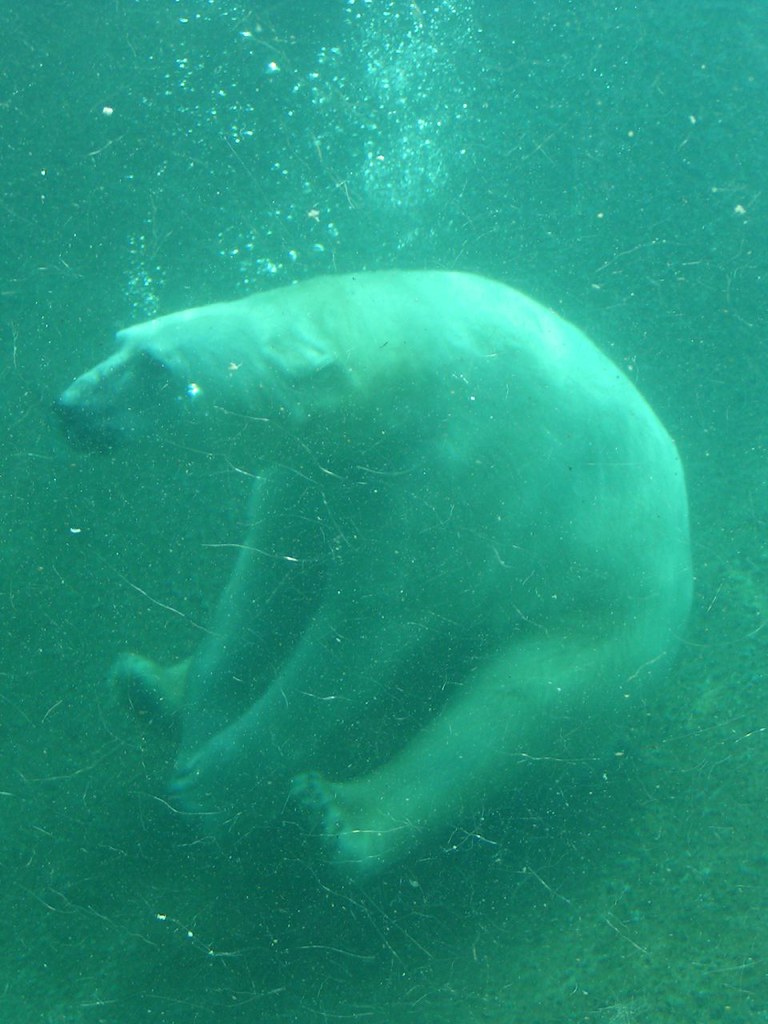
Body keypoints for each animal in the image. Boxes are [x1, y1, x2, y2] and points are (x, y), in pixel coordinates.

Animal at [56, 271, 692, 876]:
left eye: (156, 367)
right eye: (122, 340)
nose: (70, 406)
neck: (409, 369)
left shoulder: (457, 484)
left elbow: (360, 632)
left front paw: (210, 786)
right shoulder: (315, 477)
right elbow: (262, 588)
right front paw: (200, 719)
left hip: (611, 614)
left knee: (517, 705)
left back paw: (336, 815)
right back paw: (147, 687)